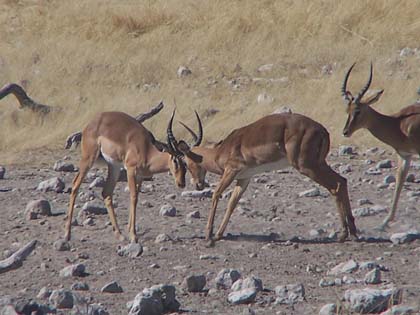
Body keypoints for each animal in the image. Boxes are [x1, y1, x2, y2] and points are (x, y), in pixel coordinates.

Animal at [65, 110, 203, 243]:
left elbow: (136, 196)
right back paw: (67, 234)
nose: (181, 183)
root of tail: (91, 123)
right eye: (175, 160)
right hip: (88, 159)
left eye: (186, 163)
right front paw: (133, 236)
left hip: (114, 166)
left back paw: (119, 235)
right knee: (75, 185)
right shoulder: (131, 170)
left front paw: (129, 231)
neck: (146, 150)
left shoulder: (140, 176)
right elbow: (133, 197)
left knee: (106, 193)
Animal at [180, 112, 358, 246]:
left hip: (307, 167)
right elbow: (232, 203)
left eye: (187, 163)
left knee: (335, 186)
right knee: (342, 181)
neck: (221, 151)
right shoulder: (244, 178)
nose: (198, 185)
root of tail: (322, 131)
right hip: (319, 164)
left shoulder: (231, 171)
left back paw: (343, 234)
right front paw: (218, 234)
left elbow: (216, 194)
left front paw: (208, 236)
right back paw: (353, 233)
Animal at [342, 63, 420, 230]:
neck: (398, 124)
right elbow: (399, 182)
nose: (345, 132)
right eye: (347, 110)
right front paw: (384, 223)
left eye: (358, 110)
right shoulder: (405, 155)